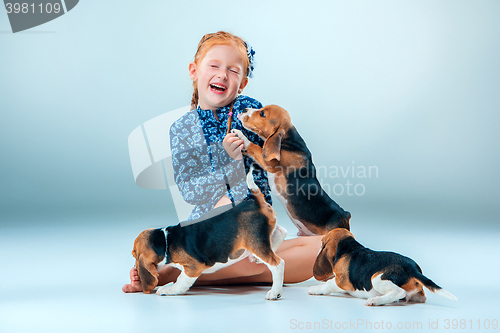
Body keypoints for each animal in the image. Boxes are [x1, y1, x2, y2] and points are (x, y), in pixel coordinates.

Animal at [131, 167, 288, 300]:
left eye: (133, 254)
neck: (165, 241)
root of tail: (256, 202)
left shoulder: (194, 267)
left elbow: (181, 280)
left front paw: (170, 290)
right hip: (263, 235)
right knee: (281, 231)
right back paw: (258, 258)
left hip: (254, 242)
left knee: (278, 263)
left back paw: (275, 292)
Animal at [231, 105, 352, 235]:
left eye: (262, 114)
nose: (244, 109)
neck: (288, 140)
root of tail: (345, 215)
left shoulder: (269, 163)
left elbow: (254, 146)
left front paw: (240, 134)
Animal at [308, 228, 458, 306]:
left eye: (322, 242)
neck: (349, 248)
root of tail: (413, 268)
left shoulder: (342, 281)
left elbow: (329, 284)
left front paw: (316, 289)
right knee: (420, 298)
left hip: (377, 279)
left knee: (399, 292)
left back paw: (375, 301)